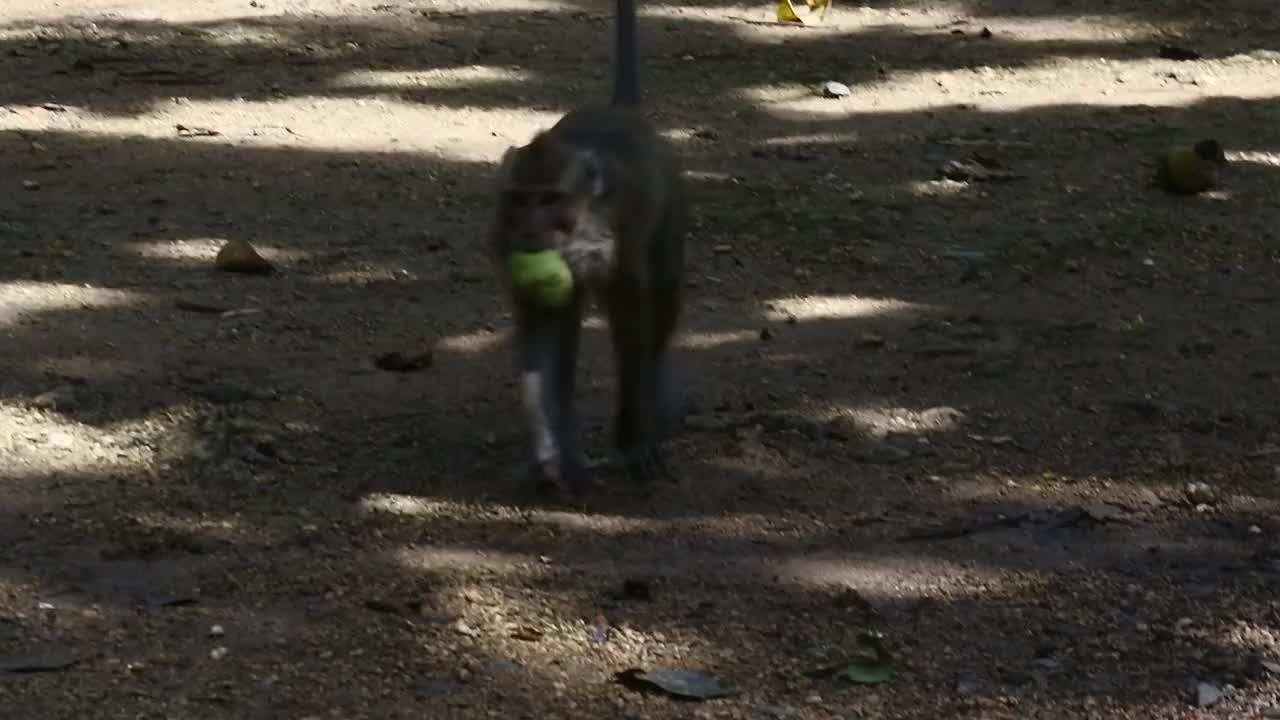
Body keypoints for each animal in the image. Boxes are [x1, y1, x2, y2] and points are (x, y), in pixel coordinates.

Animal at [488, 0, 691, 497]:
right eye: (518, 199)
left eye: (550, 200)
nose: (529, 231)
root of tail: (625, 113)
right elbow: (542, 330)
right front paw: (544, 455)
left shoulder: (622, 240)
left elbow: (633, 321)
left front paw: (634, 442)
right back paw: (570, 456)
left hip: (671, 210)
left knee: (661, 304)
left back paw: (652, 409)